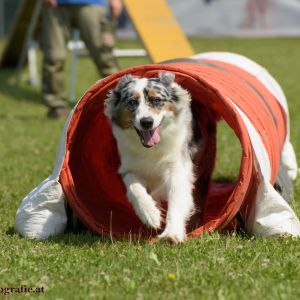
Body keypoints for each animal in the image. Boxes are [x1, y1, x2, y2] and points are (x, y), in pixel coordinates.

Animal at [104, 72, 200, 241]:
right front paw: (151, 214)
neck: (151, 149)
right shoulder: (129, 168)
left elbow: (176, 196)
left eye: (156, 100)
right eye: (132, 102)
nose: (146, 122)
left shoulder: (176, 167)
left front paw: (171, 233)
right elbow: (134, 187)